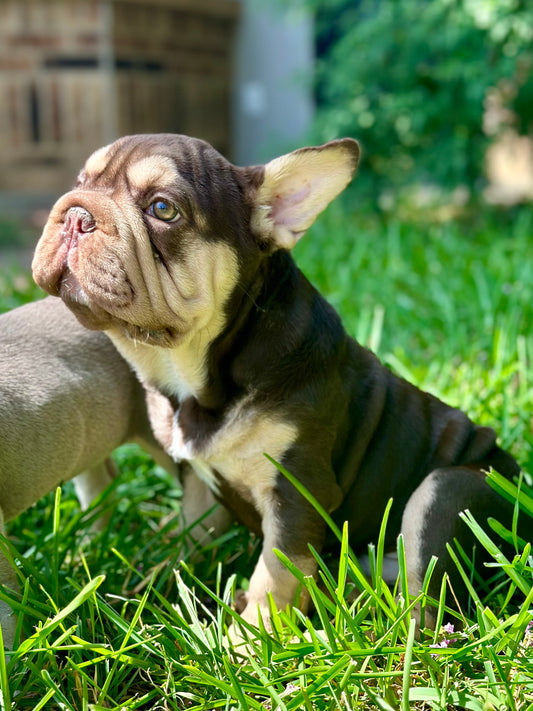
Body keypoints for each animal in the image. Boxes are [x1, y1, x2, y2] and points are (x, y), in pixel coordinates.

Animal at [33, 136, 528, 632]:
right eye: (81, 180)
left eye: (162, 208)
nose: (76, 213)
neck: (201, 376)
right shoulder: (201, 490)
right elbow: (189, 540)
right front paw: (149, 583)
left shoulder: (296, 490)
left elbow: (275, 575)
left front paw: (249, 638)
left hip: (444, 493)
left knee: (426, 599)